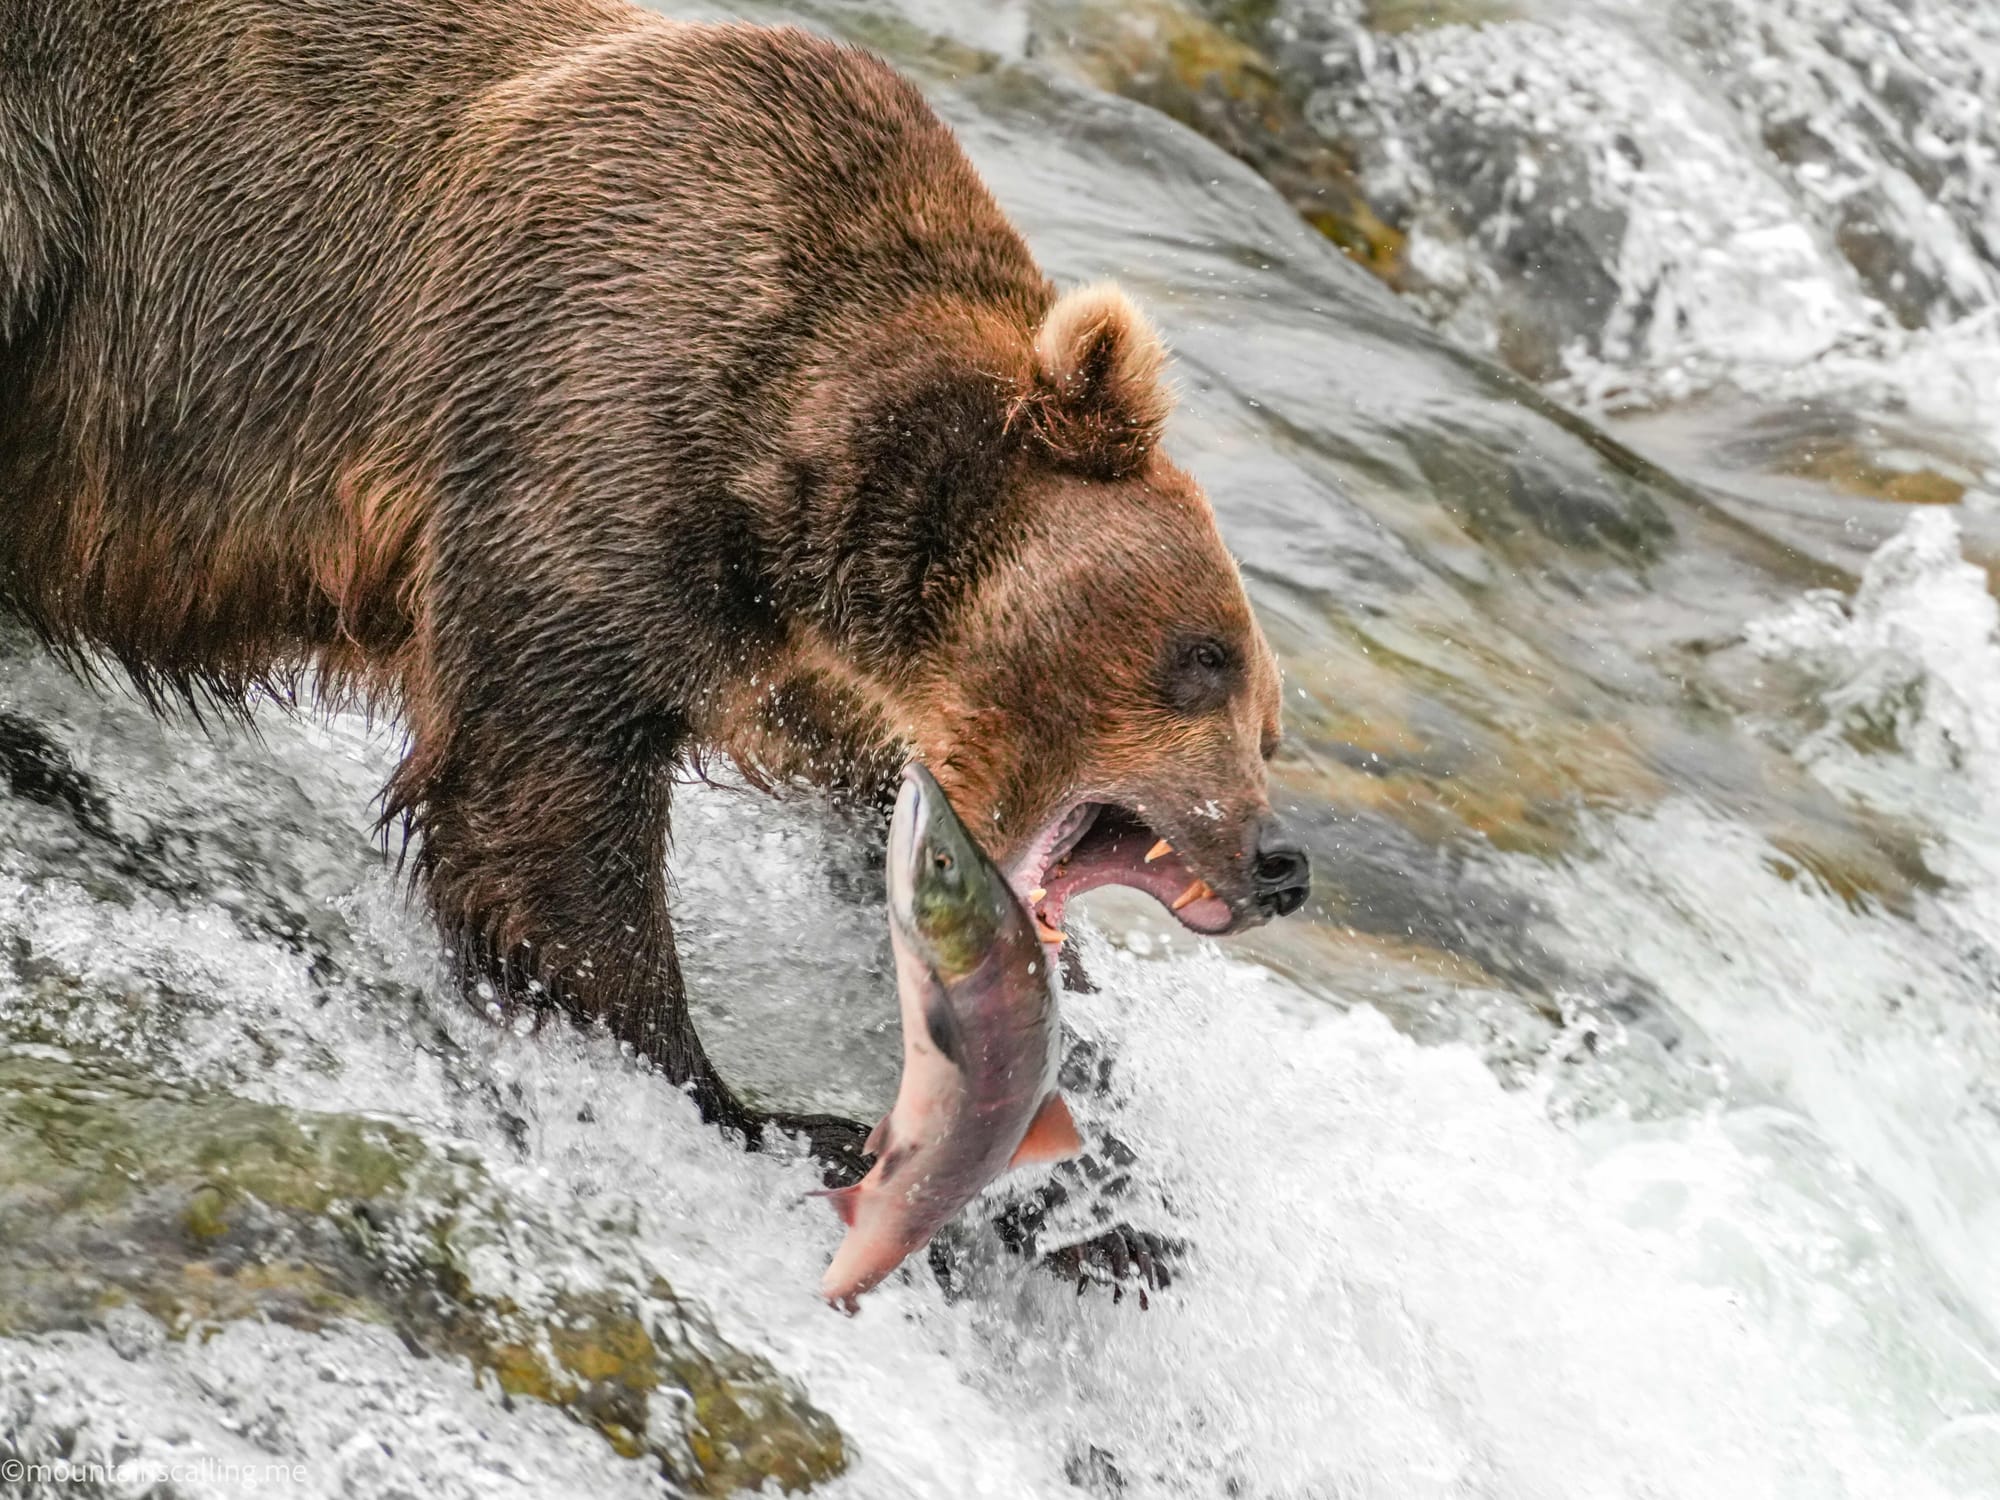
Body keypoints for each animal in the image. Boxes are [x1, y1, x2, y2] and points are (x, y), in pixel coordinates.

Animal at [0, 0, 1311, 1173]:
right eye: (1201, 658)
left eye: (1270, 724)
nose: (1277, 859)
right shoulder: (589, 409)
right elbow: (544, 788)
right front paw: (748, 1103)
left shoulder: (789, 651)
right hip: (50, 179)